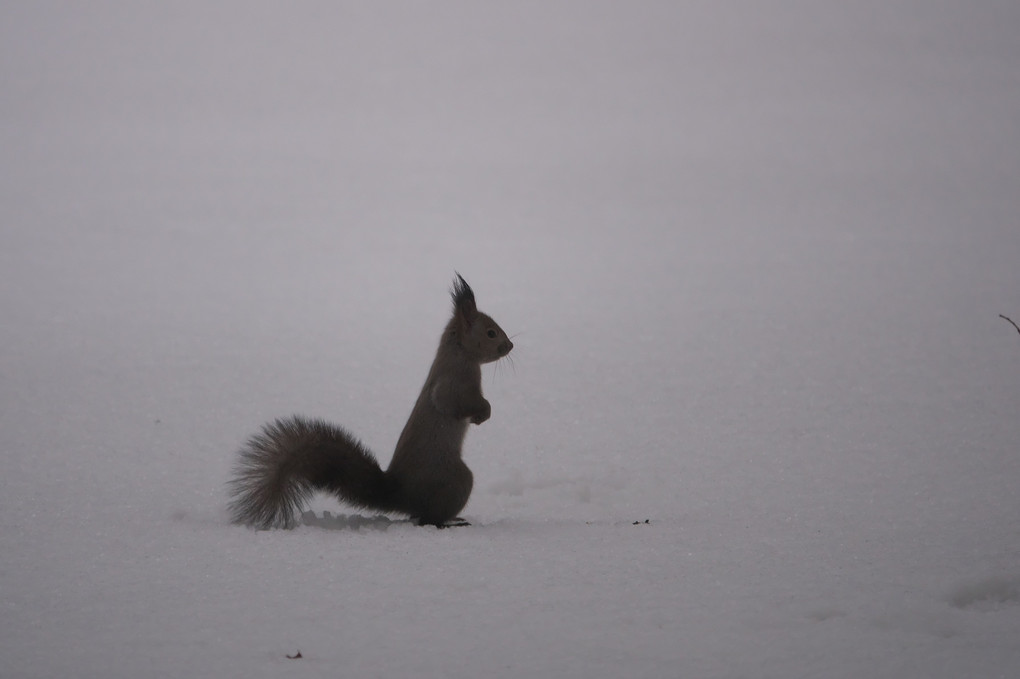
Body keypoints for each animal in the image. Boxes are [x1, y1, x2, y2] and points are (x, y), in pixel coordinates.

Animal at [228, 273, 514, 526]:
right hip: (456, 480)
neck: (459, 353)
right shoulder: (453, 382)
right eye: (491, 333)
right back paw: (450, 522)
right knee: (426, 519)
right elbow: (452, 402)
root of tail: (400, 494)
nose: (510, 346)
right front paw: (483, 413)